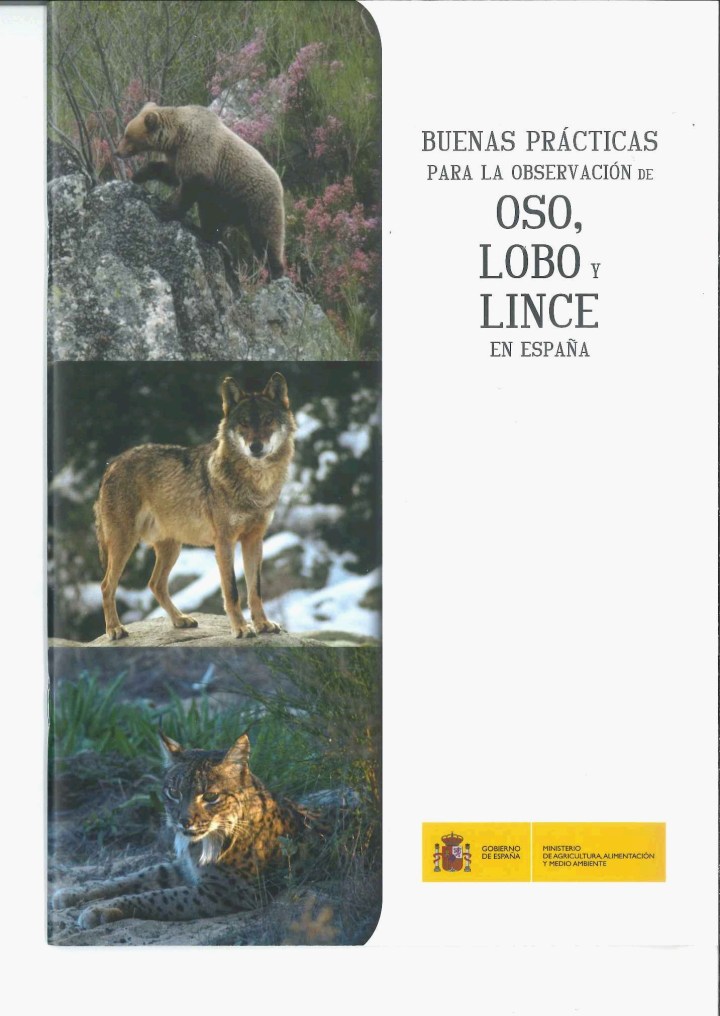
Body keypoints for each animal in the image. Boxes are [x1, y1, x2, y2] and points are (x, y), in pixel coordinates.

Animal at [94, 373, 295, 640]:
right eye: (243, 423)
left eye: (267, 420)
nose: (255, 447)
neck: (255, 485)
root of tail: (111, 464)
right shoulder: (224, 542)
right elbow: (232, 591)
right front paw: (241, 628)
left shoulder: (254, 540)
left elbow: (255, 590)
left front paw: (263, 624)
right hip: (124, 543)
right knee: (107, 585)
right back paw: (115, 629)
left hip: (171, 548)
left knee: (155, 584)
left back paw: (180, 619)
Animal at [116, 103, 285, 278]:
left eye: (127, 135)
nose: (117, 151)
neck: (177, 137)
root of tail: (279, 183)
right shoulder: (178, 156)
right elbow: (171, 174)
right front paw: (139, 174)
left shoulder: (199, 153)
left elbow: (189, 188)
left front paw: (164, 211)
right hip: (226, 202)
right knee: (214, 216)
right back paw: (207, 234)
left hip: (257, 201)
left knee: (266, 237)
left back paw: (275, 271)